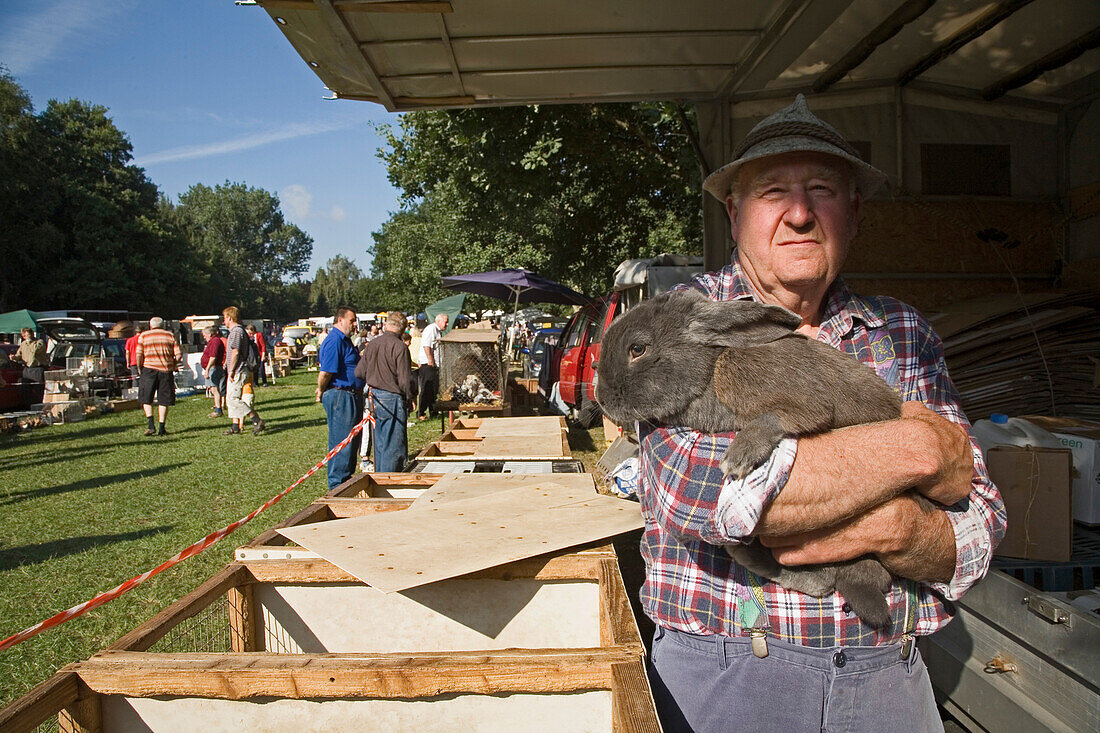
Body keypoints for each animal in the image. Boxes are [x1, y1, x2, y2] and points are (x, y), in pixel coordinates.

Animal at [589, 288, 924, 625]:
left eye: (638, 348)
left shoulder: (801, 401)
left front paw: (739, 456)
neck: (711, 366)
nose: (602, 400)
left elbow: (783, 418)